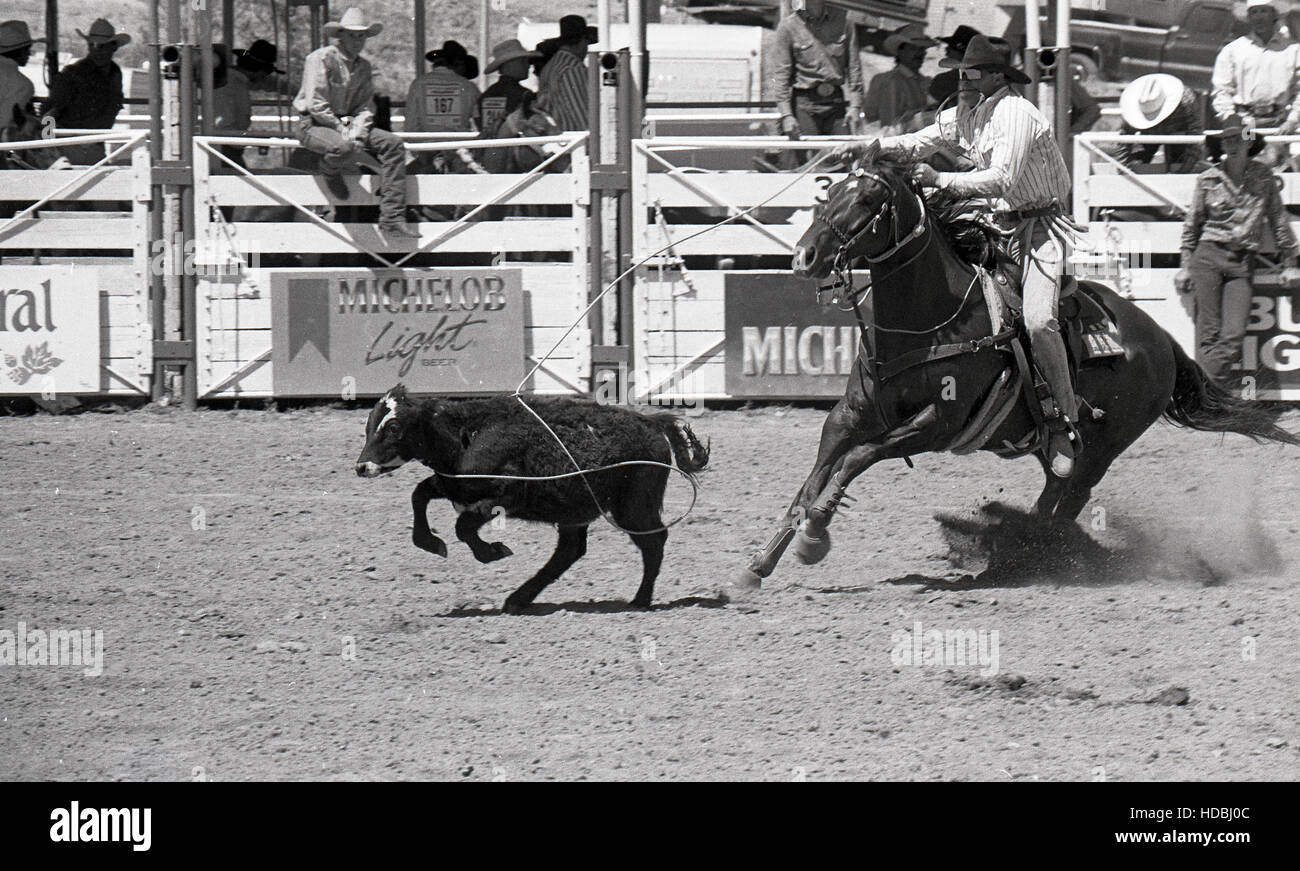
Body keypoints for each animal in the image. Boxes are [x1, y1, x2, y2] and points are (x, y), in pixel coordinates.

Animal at [356, 390, 712, 613]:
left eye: (394, 427)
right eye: (371, 425)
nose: (361, 466)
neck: (468, 435)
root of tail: (652, 423)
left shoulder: (505, 494)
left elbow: (463, 526)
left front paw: (492, 551)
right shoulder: (454, 486)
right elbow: (420, 495)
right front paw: (430, 542)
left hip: (634, 507)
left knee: (653, 542)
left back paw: (640, 599)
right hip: (576, 511)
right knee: (570, 551)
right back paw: (519, 599)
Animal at [738, 150, 1294, 590]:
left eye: (867, 201)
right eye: (829, 193)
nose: (804, 256)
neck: (930, 321)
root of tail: (1164, 341)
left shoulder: (938, 424)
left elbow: (857, 459)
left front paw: (815, 536)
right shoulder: (849, 415)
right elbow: (815, 477)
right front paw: (758, 565)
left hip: (1105, 446)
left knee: (1071, 498)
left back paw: (1024, 553)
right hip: (1060, 447)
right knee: (1056, 489)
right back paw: (1016, 550)